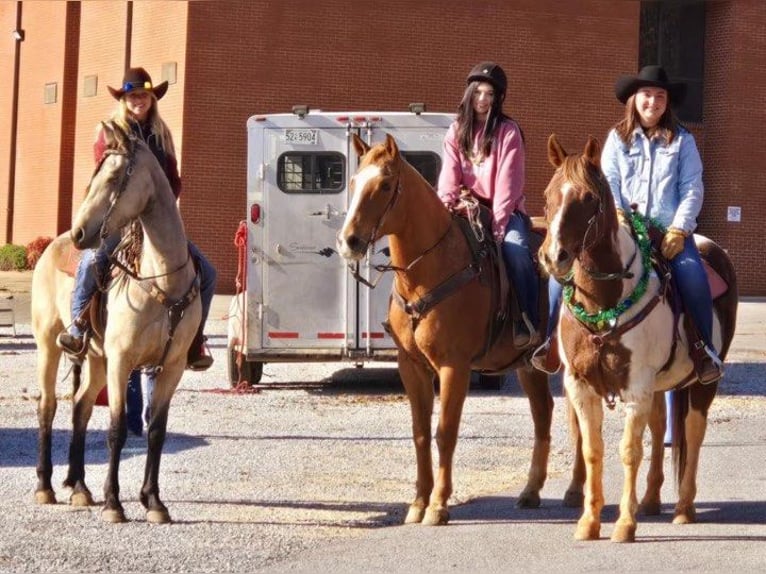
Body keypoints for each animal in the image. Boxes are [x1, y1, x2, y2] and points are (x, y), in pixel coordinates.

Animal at [31, 121, 202, 528]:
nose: (80, 233)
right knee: (49, 406)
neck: (162, 278)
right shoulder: (122, 360)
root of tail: (50, 246)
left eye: (111, 178)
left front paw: (154, 502)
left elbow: (155, 431)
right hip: (48, 344)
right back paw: (45, 487)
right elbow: (117, 428)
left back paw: (79, 488)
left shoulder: (171, 367)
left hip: (96, 359)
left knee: (80, 406)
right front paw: (114, 503)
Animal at [340, 134, 584, 528]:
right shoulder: (412, 367)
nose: (350, 241)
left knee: (578, 420)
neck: (428, 274)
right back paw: (531, 491)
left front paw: (439, 505)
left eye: (386, 185)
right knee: (543, 414)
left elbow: (446, 433)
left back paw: (576, 490)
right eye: (353, 182)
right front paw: (418, 503)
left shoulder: (454, 367)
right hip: (529, 366)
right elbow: (421, 433)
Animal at [536, 135, 740, 544]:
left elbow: (629, 450)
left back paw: (683, 508)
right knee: (661, 428)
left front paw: (624, 525)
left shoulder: (636, 385)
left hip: (702, 383)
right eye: (549, 195)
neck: (605, 302)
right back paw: (650, 500)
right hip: (660, 387)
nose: (553, 257)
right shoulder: (580, 385)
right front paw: (589, 522)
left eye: (589, 199)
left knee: (693, 433)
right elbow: (593, 449)